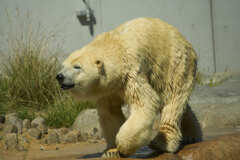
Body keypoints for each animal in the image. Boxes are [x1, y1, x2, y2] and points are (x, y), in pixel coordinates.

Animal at [57, 17, 202, 158]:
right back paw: (192, 136)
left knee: (172, 98)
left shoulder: (131, 74)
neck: (115, 48)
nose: (59, 76)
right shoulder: (108, 89)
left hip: (174, 64)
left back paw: (161, 142)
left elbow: (145, 103)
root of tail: (186, 42)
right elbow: (110, 113)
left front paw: (123, 147)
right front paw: (111, 151)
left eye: (77, 67)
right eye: (63, 66)